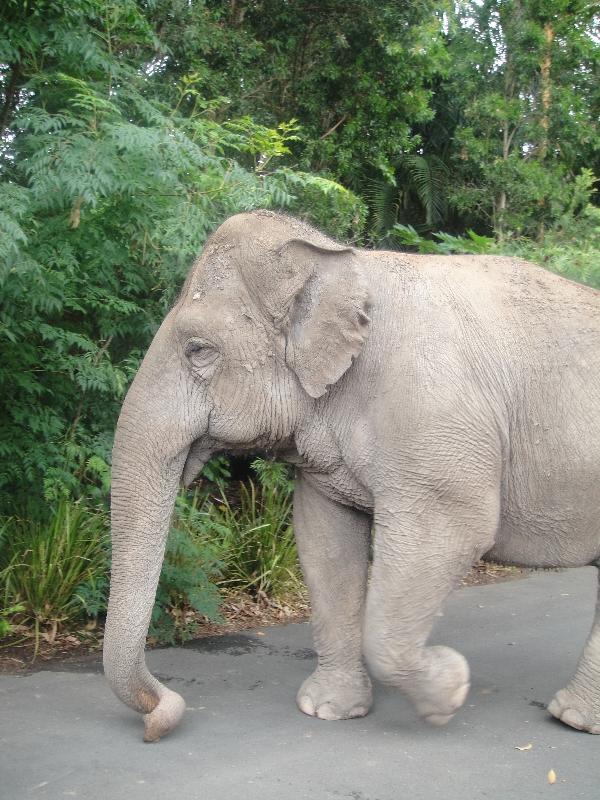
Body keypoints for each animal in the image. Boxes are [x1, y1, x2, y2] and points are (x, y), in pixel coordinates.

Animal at [103, 208, 600, 744]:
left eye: (198, 350)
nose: (159, 718)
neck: (346, 263)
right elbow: (325, 538)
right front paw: (328, 710)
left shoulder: (433, 421)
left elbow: (455, 530)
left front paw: (452, 688)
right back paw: (573, 716)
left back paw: (570, 719)